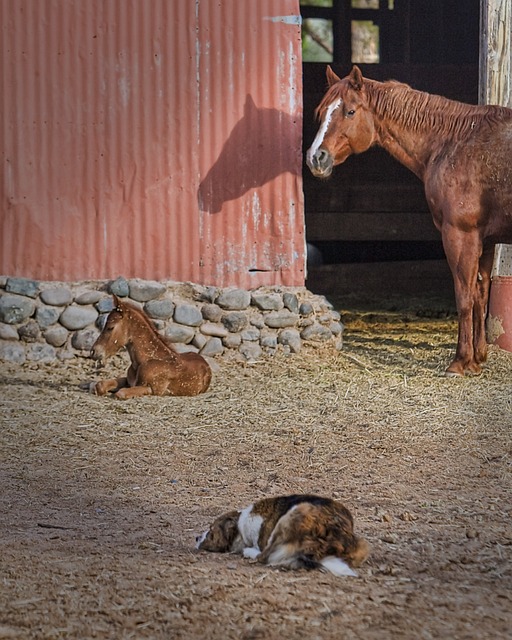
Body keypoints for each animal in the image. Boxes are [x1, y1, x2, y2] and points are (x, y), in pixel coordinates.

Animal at [306, 65, 512, 376]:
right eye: (320, 112)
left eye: (350, 111)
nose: (315, 158)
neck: (454, 141)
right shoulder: (485, 240)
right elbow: (480, 296)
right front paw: (477, 360)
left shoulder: (460, 235)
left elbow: (464, 296)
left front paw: (460, 361)